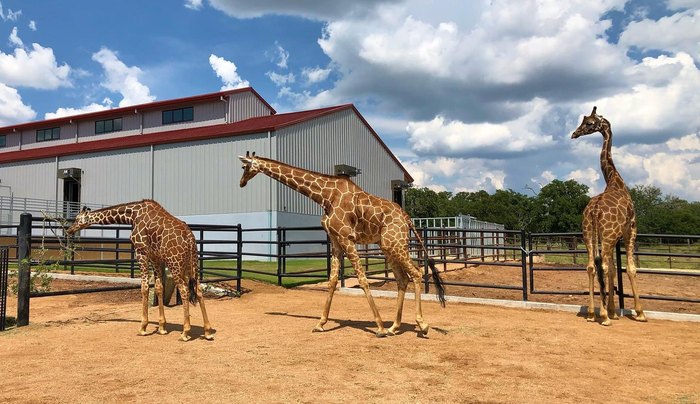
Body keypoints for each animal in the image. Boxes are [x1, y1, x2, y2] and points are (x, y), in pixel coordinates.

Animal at [66, 199, 215, 340]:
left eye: (77, 219)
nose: (69, 230)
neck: (132, 215)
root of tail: (190, 239)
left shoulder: (141, 251)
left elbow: (144, 287)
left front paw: (143, 327)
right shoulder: (155, 256)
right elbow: (159, 287)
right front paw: (162, 327)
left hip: (175, 263)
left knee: (184, 290)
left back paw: (185, 332)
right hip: (192, 264)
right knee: (198, 289)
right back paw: (207, 331)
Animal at [238, 153, 446, 336]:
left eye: (244, 167)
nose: (241, 182)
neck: (325, 196)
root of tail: (407, 217)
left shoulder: (347, 239)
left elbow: (362, 279)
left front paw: (379, 327)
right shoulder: (336, 242)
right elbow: (332, 282)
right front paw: (320, 324)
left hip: (396, 243)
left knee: (416, 273)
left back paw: (421, 325)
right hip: (388, 247)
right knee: (402, 279)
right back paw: (394, 327)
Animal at [572, 106, 648, 326]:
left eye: (588, 123)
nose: (574, 134)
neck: (615, 180)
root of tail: (595, 209)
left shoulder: (614, 238)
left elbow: (615, 268)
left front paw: (614, 310)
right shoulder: (631, 229)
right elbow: (629, 268)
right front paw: (639, 313)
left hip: (588, 234)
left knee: (591, 266)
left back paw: (592, 313)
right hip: (607, 235)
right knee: (603, 266)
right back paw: (604, 317)